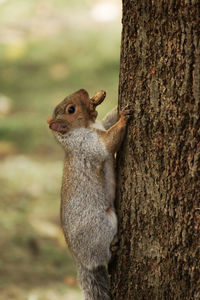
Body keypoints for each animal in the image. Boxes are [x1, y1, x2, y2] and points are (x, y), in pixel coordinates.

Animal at [46, 89, 131, 300]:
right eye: (71, 109)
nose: (83, 91)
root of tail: (80, 260)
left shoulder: (102, 125)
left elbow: (109, 119)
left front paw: (118, 109)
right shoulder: (88, 145)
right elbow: (108, 143)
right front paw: (124, 118)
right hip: (102, 228)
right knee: (103, 258)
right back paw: (113, 249)